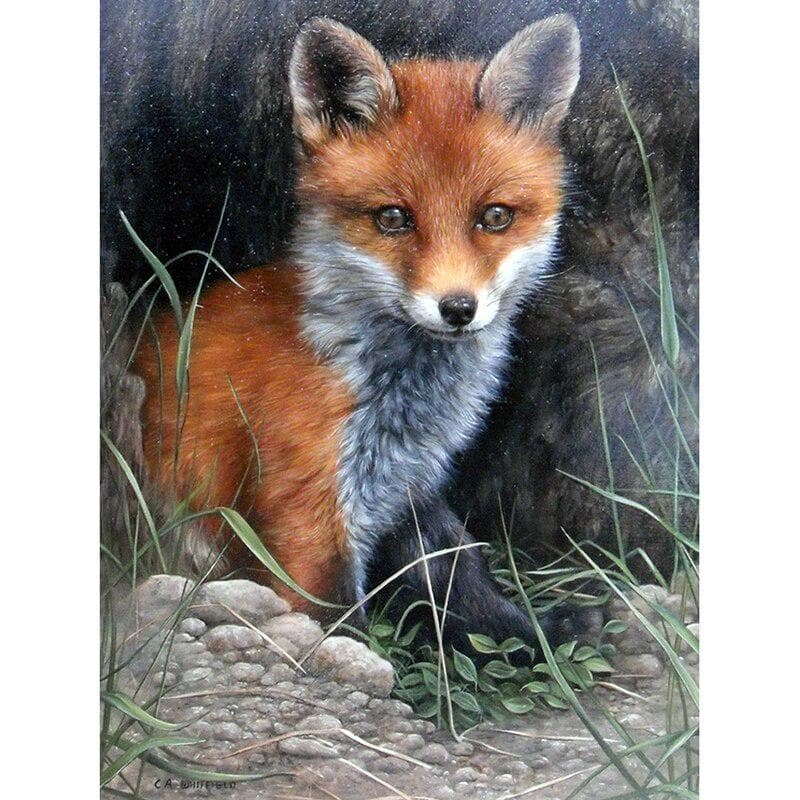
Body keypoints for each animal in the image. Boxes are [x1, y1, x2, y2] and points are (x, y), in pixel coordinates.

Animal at [133, 15, 583, 652]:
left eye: (494, 217)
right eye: (393, 218)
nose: (458, 308)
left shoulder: (410, 488)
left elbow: (462, 574)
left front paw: (534, 636)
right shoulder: (307, 511)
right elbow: (337, 621)